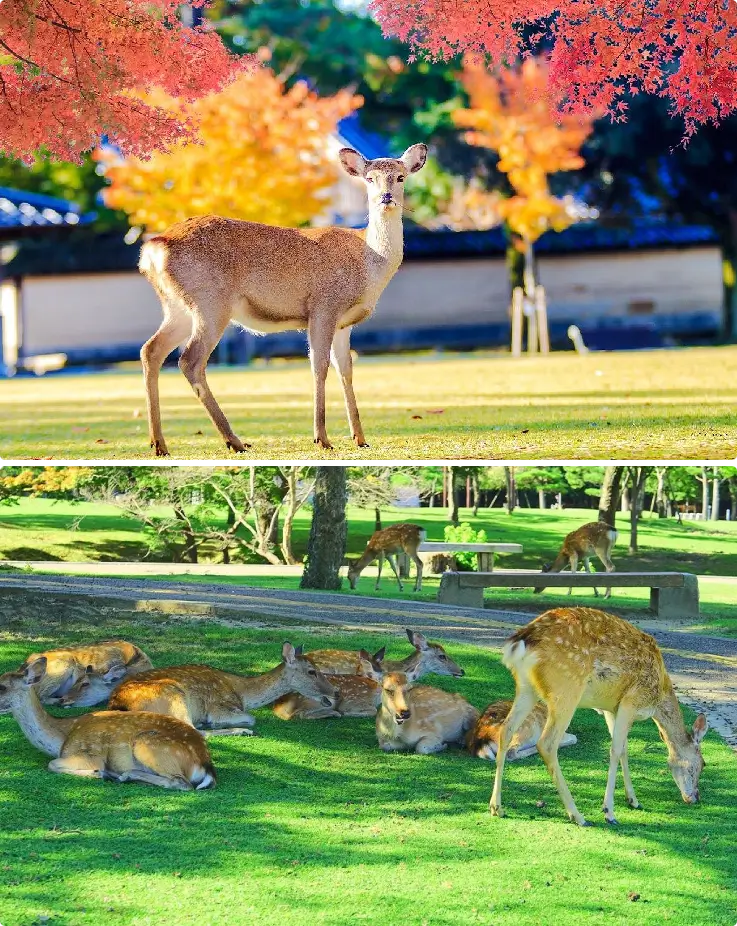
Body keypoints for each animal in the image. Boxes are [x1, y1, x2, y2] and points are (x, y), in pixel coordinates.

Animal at [0, 657, 215, 790]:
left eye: (2, 686)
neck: (62, 737)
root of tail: (205, 764)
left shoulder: (89, 754)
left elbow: (52, 764)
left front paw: (100, 773)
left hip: (149, 744)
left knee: (181, 783)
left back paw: (123, 775)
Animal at [107, 643, 338, 735]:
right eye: (311, 671)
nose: (335, 692)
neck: (242, 692)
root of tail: (116, 703)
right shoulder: (220, 707)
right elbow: (251, 717)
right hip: (173, 695)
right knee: (194, 730)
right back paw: (240, 731)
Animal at [138, 143, 428, 456]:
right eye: (369, 178)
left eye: (400, 177)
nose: (386, 197)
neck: (368, 262)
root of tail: (153, 249)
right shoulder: (323, 306)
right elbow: (319, 366)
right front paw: (322, 438)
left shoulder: (344, 323)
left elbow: (346, 370)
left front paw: (360, 438)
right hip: (211, 302)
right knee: (189, 360)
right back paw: (233, 440)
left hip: (178, 307)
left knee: (151, 350)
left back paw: (159, 443)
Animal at [489, 607, 709, 826]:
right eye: (702, 764)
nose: (695, 798)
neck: (657, 698)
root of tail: (521, 642)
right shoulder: (631, 701)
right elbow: (615, 750)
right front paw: (609, 811)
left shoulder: (612, 709)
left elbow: (624, 750)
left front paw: (633, 800)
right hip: (566, 690)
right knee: (546, 743)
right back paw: (578, 815)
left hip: (526, 688)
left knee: (506, 730)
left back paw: (496, 807)